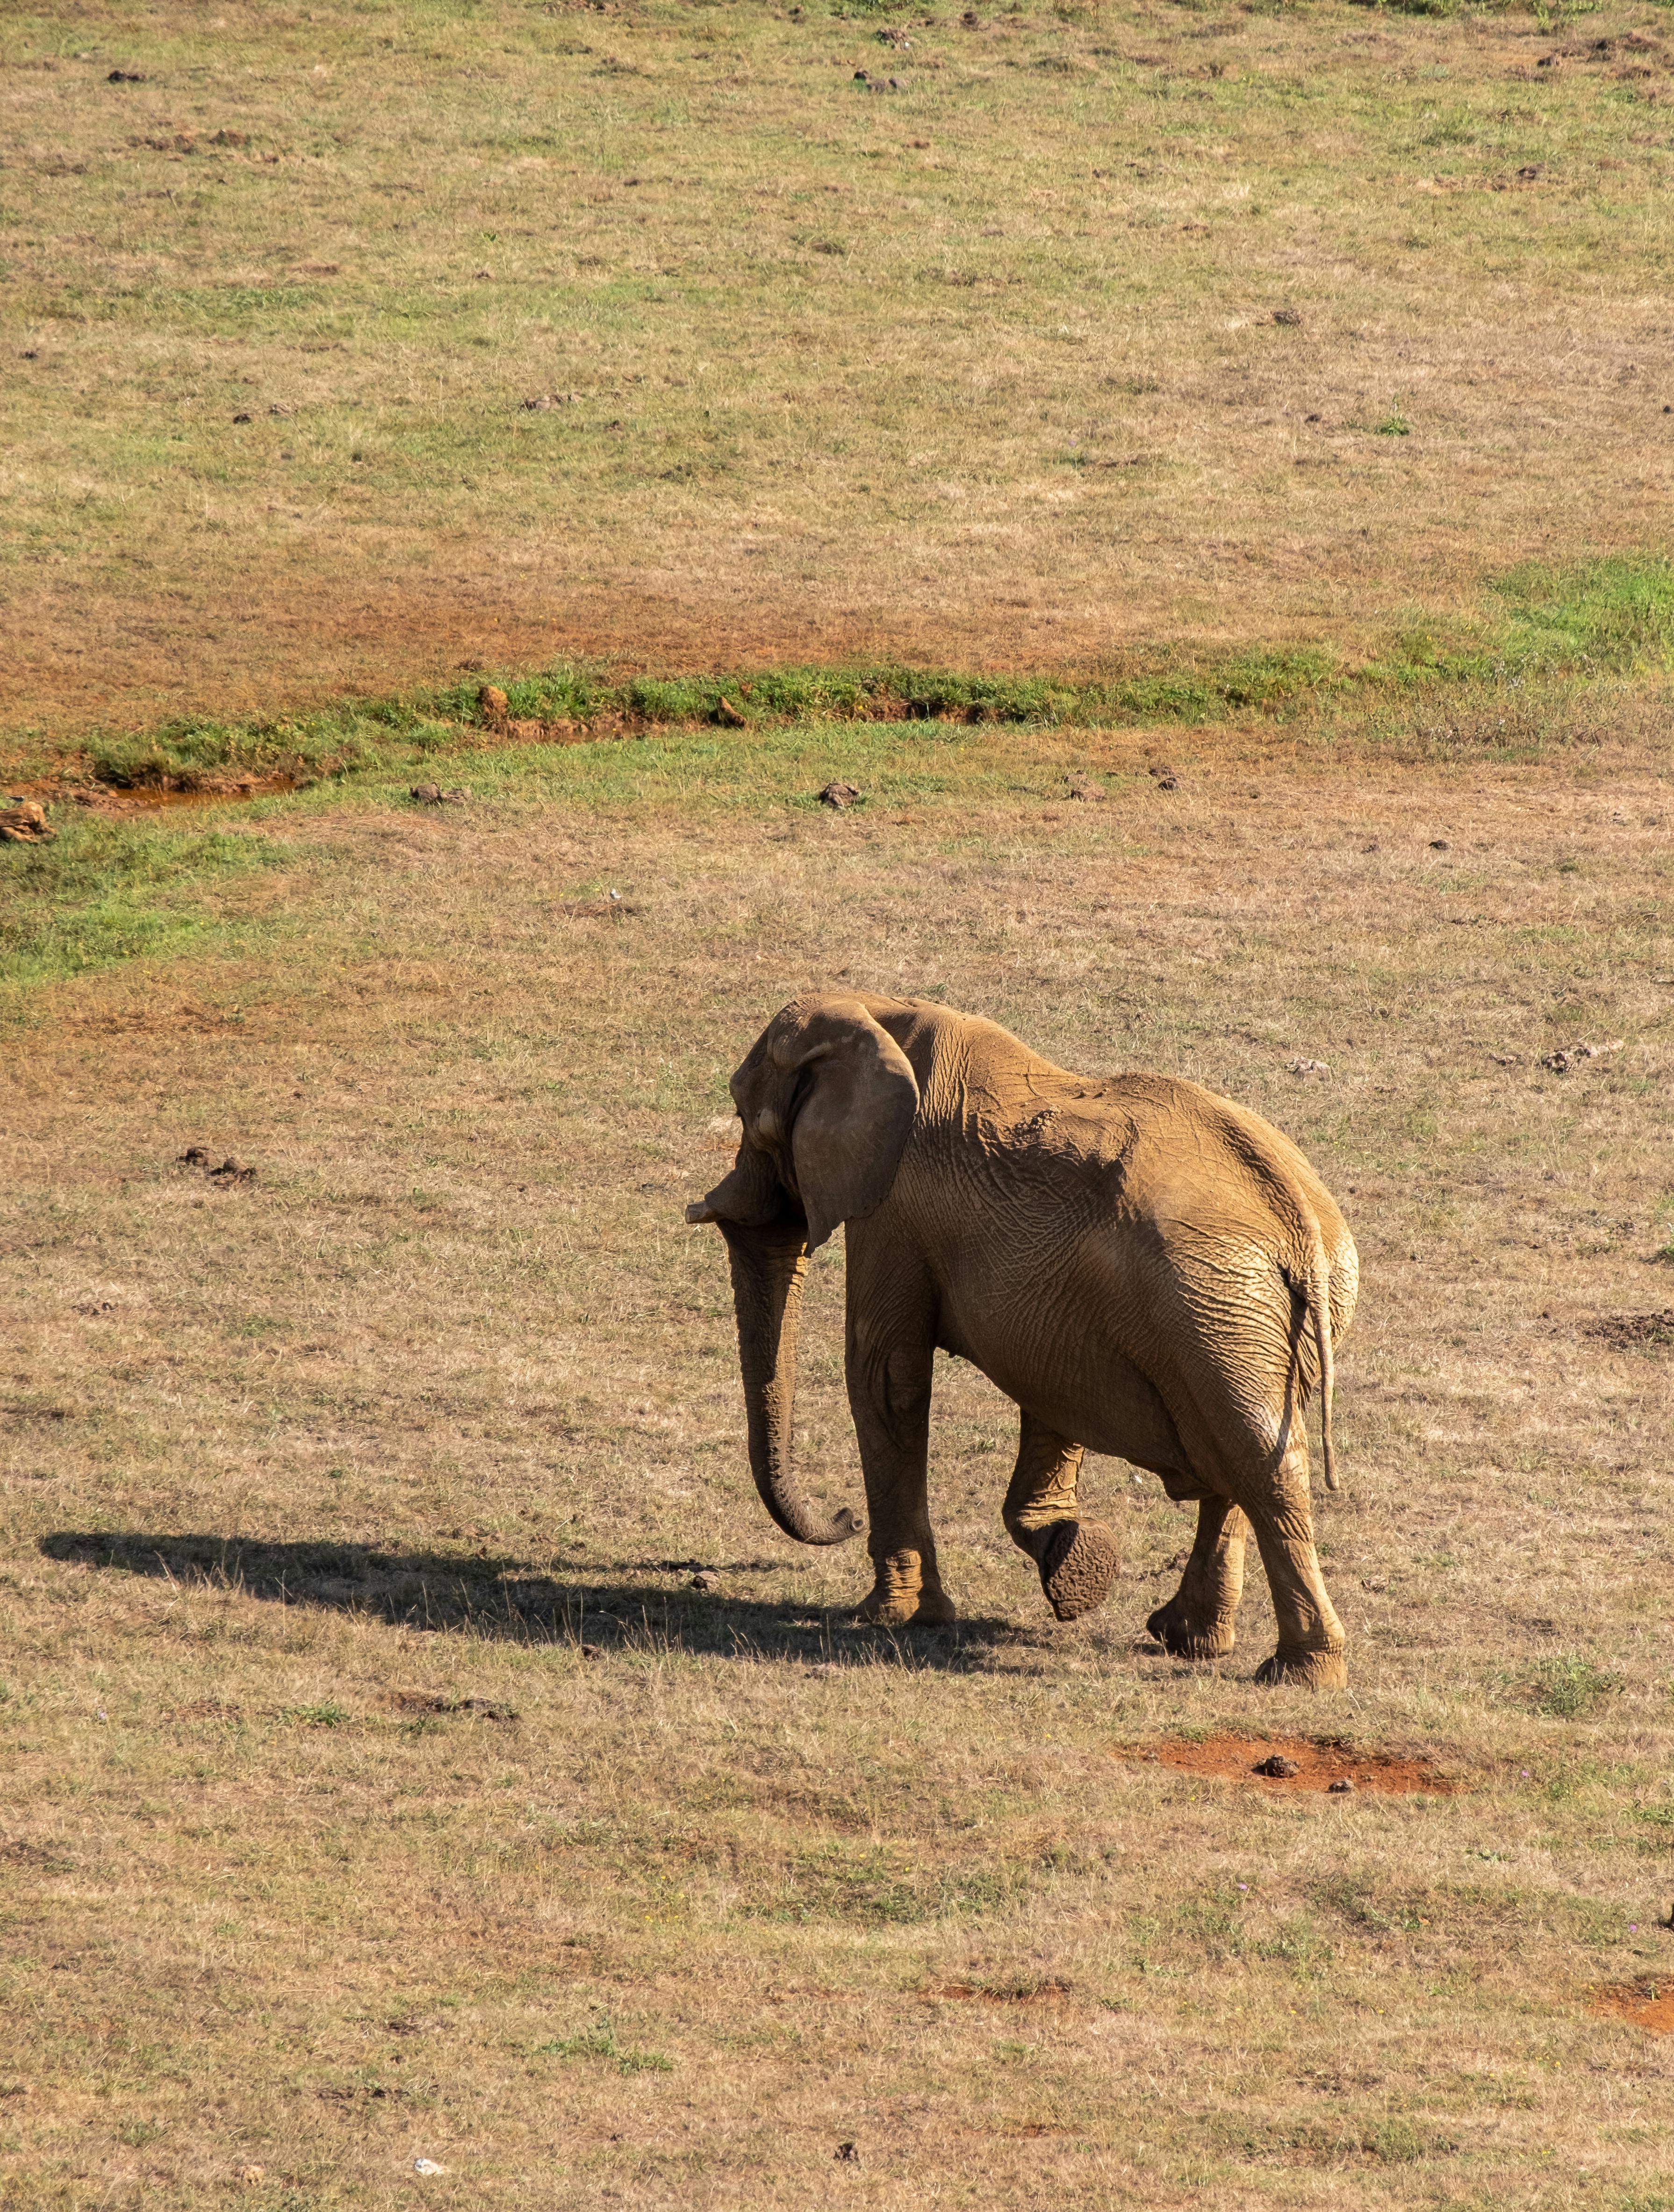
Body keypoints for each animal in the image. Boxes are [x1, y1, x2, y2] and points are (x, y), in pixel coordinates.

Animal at [686, 993, 1359, 1688]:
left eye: (743, 1113)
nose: (844, 1516)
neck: (877, 1012)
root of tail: (1300, 1223)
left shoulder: (894, 1204)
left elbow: (885, 1376)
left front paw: (890, 1617)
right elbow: (1048, 1391)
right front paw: (1072, 1563)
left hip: (1214, 1302)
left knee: (1257, 1459)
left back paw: (1296, 1674)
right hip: (1245, 1312)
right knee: (1235, 1450)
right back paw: (1191, 1640)